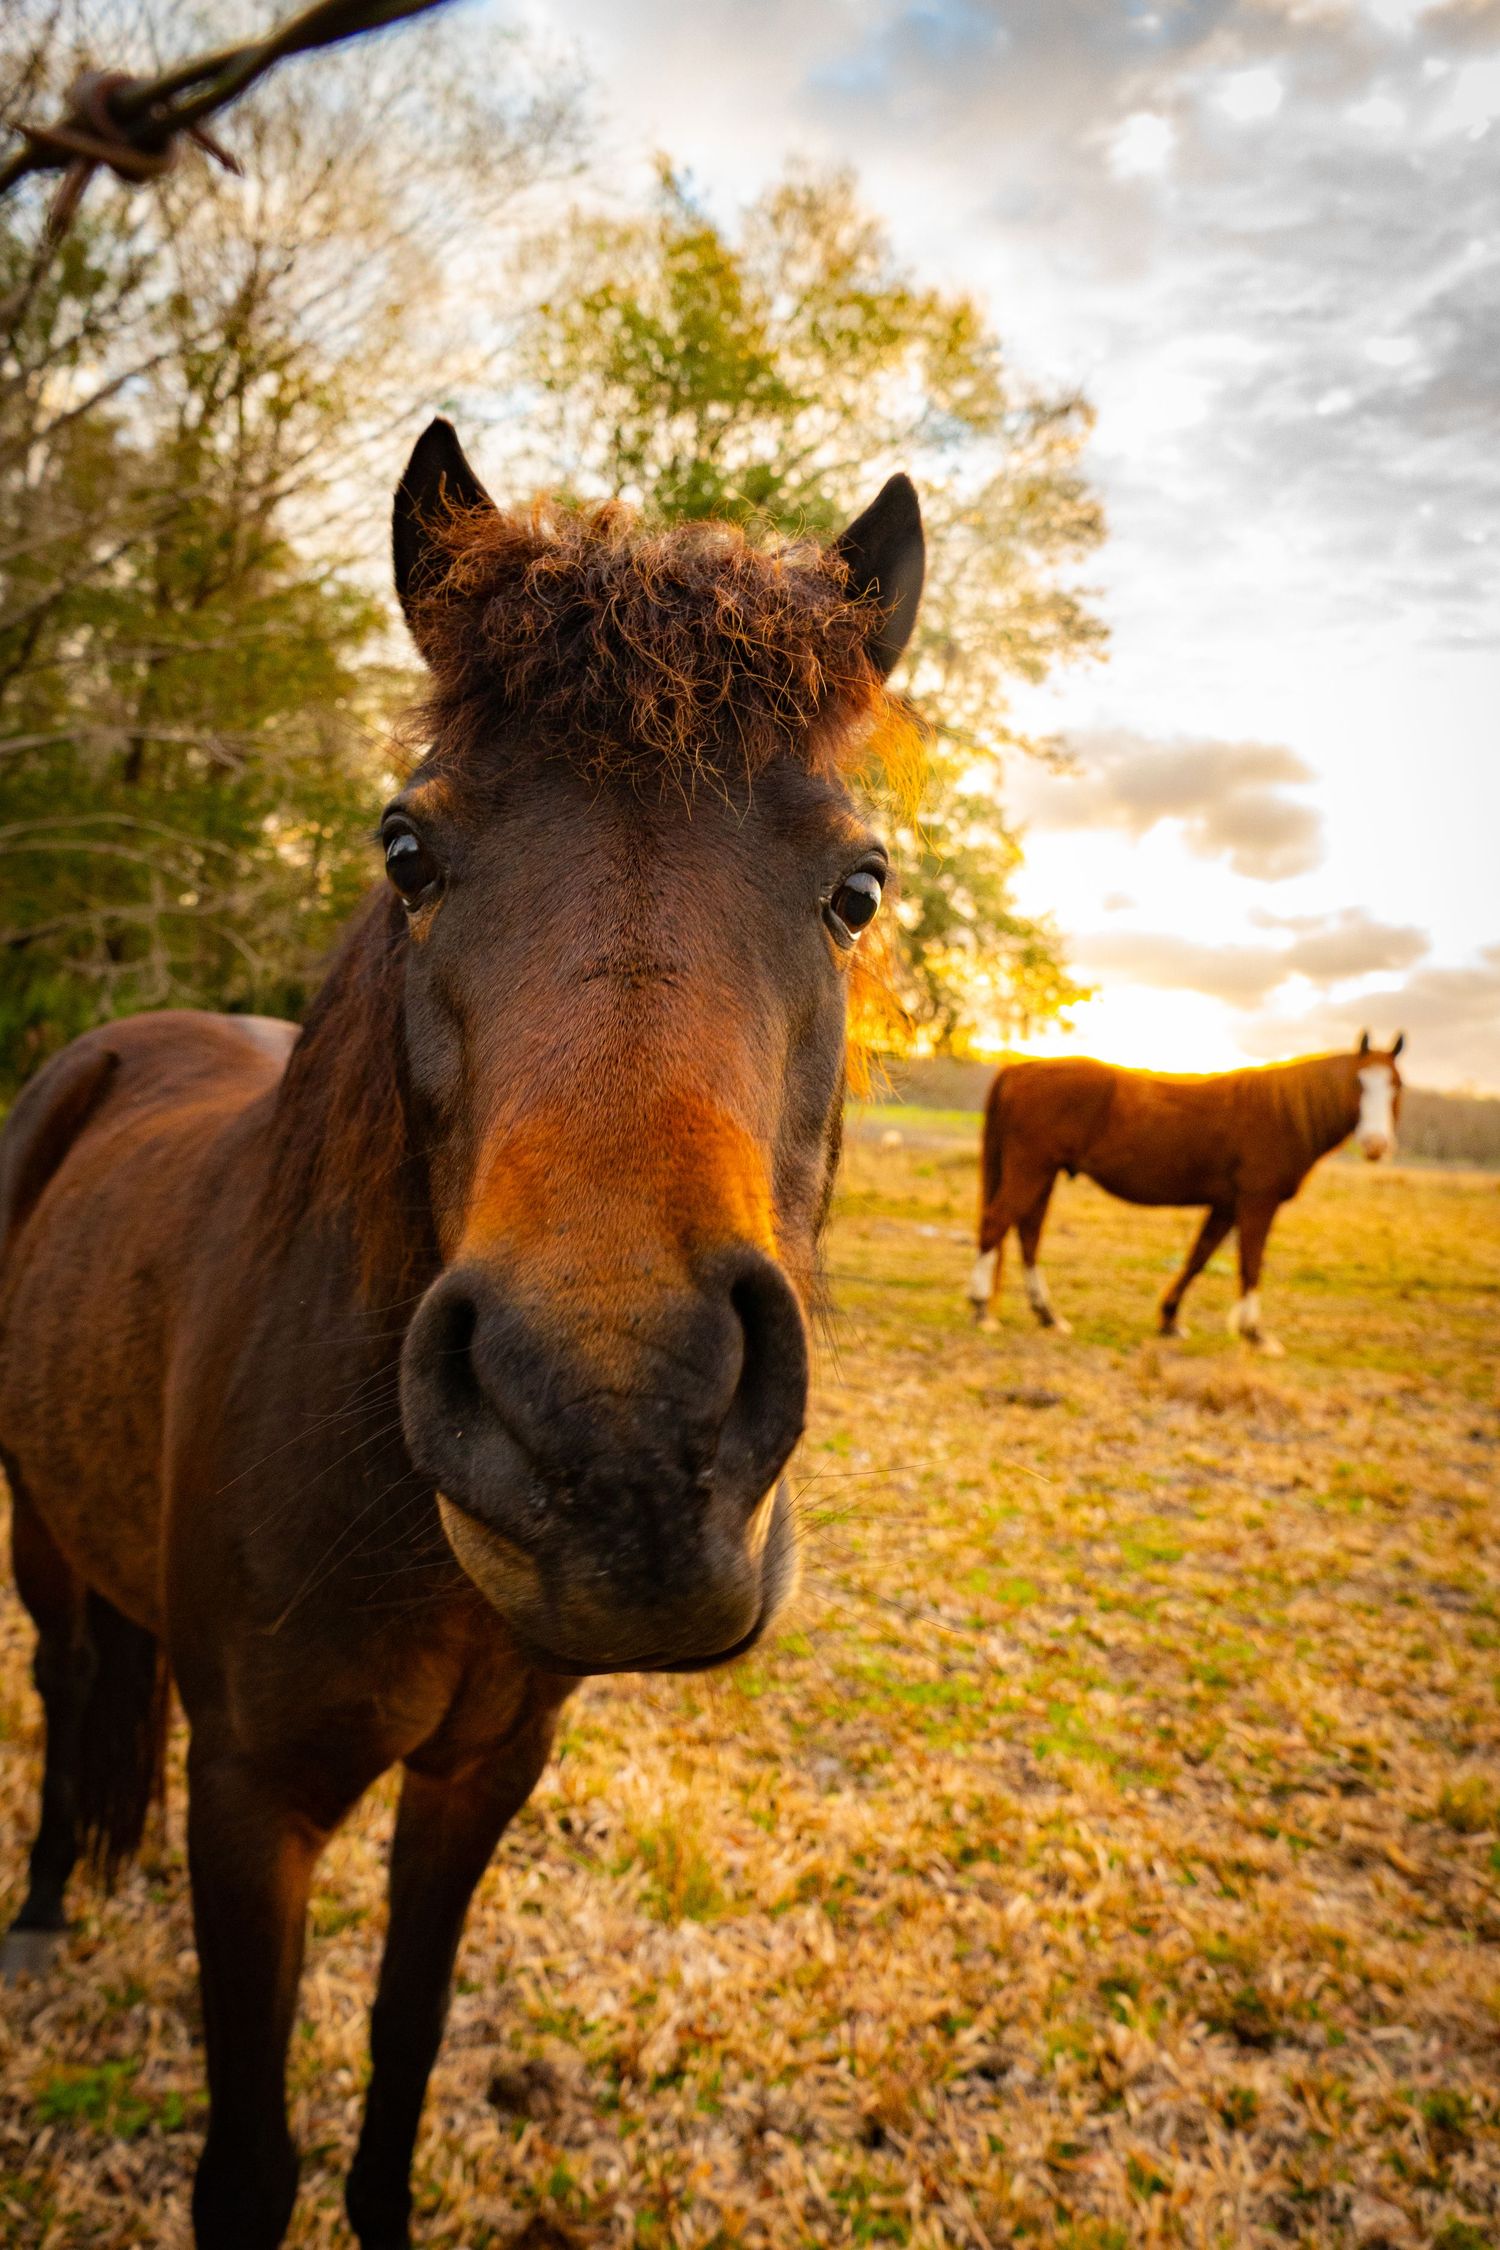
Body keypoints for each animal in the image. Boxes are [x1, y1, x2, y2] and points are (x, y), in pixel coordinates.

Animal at [0, 419, 925, 2250]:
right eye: (406, 851)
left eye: (855, 889)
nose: (616, 1439)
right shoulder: (254, 1796)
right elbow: (248, 2161)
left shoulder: (483, 1772)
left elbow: (405, 2051)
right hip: (33, 1529)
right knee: (70, 1686)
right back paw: (48, 1907)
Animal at [966, 1033, 1405, 1353]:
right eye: (1358, 1083)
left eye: (1396, 1086)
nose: (1376, 1145)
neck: (1280, 1114)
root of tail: (1020, 1069)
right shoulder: (1256, 1202)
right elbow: (1250, 1265)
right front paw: (1255, 1334)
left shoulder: (1226, 1206)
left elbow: (1199, 1258)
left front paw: (1170, 1319)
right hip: (1031, 1169)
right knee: (996, 1223)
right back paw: (982, 1309)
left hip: (1043, 1174)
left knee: (1028, 1234)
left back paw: (1047, 1315)